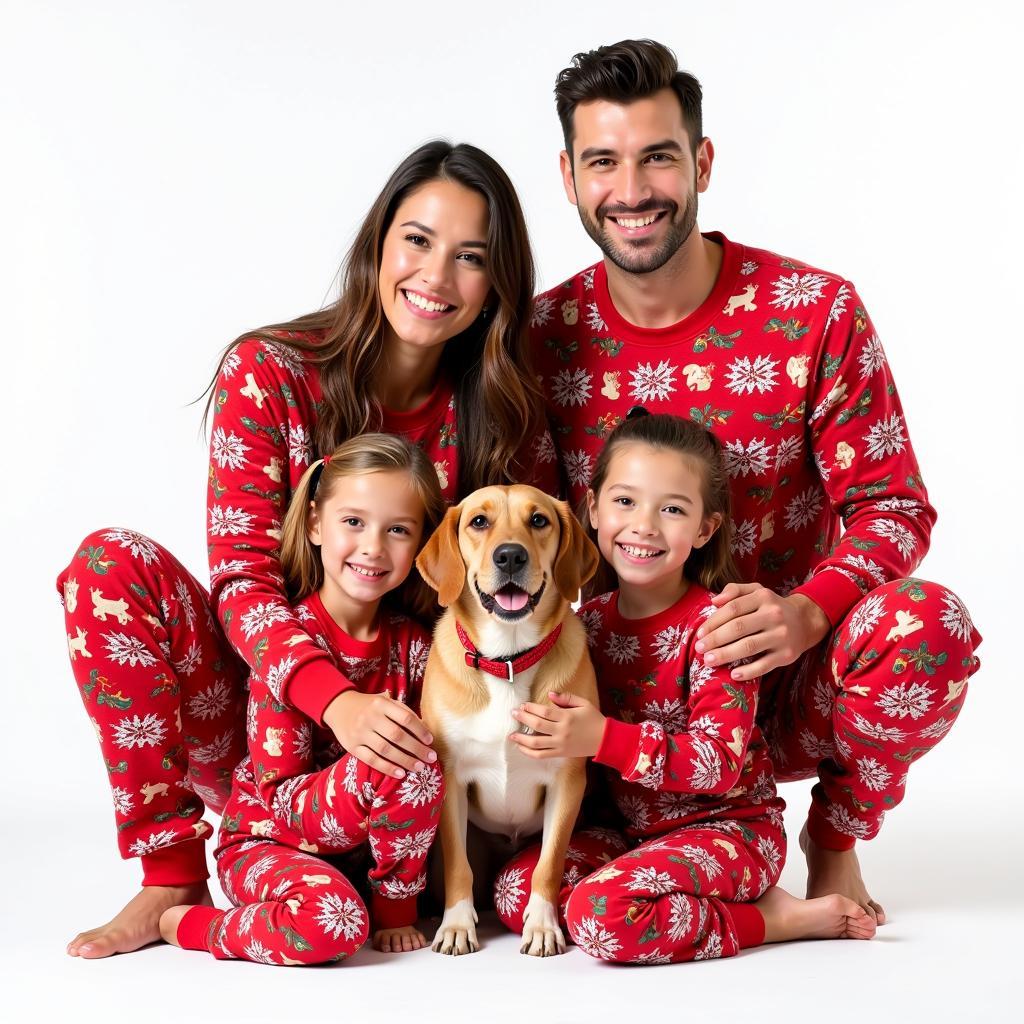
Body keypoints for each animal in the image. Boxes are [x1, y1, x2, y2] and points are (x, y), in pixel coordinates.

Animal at [417, 483, 598, 954]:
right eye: (479, 521)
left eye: (539, 520)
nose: (511, 556)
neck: (508, 658)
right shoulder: (450, 777)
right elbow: (459, 866)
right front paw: (457, 925)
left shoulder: (567, 780)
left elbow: (548, 864)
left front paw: (542, 926)